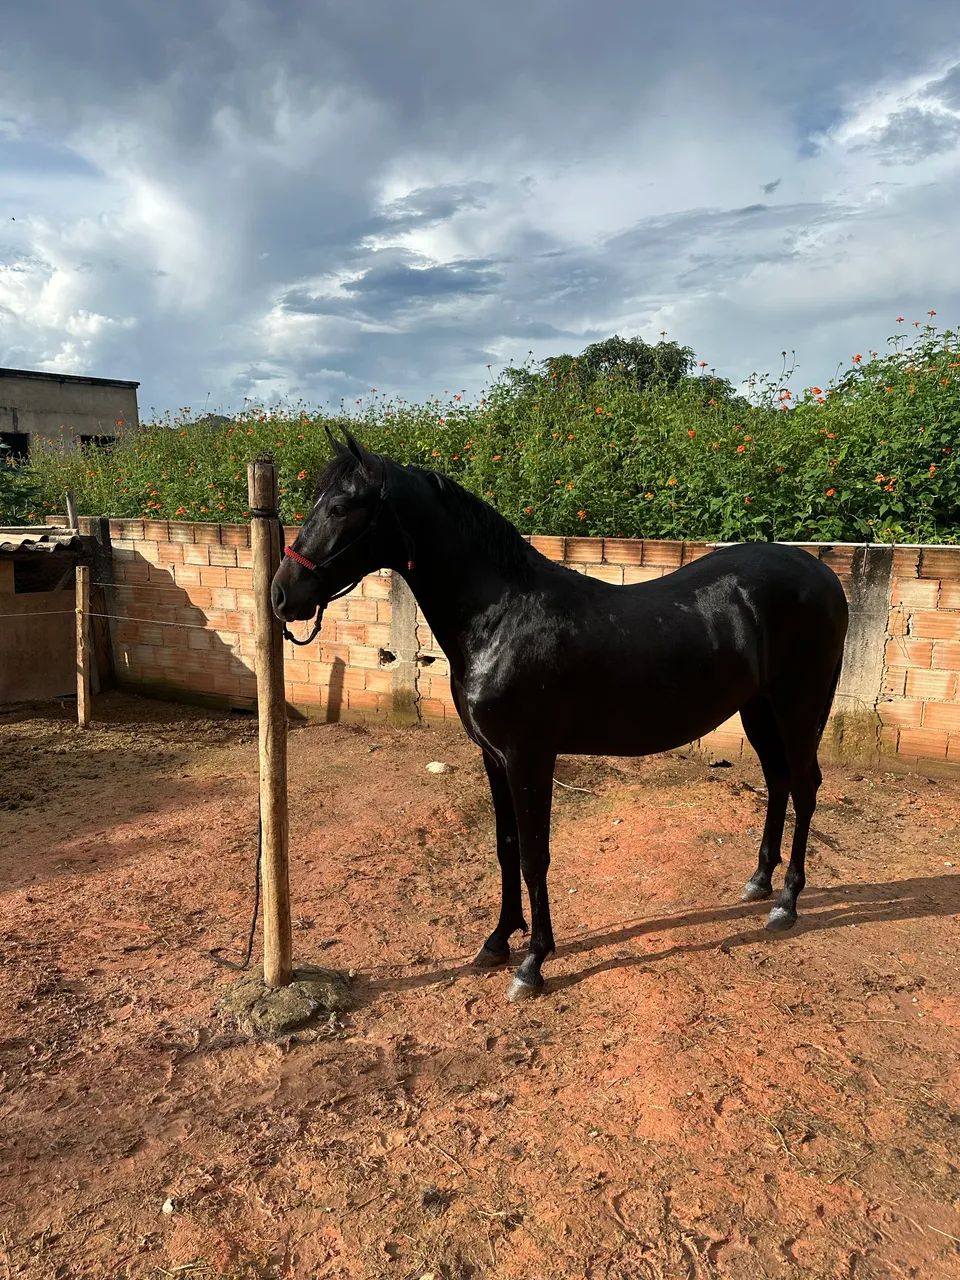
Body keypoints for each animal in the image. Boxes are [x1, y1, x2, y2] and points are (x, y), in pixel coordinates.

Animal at [271, 429, 849, 1002]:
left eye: (340, 507)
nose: (282, 595)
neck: (501, 617)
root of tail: (823, 574)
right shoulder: (494, 757)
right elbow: (505, 847)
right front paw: (498, 941)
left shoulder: (530, 756)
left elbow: (534, 855)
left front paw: (533, 963)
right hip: (759, 710)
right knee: (779, 782)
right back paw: (759, 882)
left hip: (797, 708)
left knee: (804, 786)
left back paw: (787, 902)